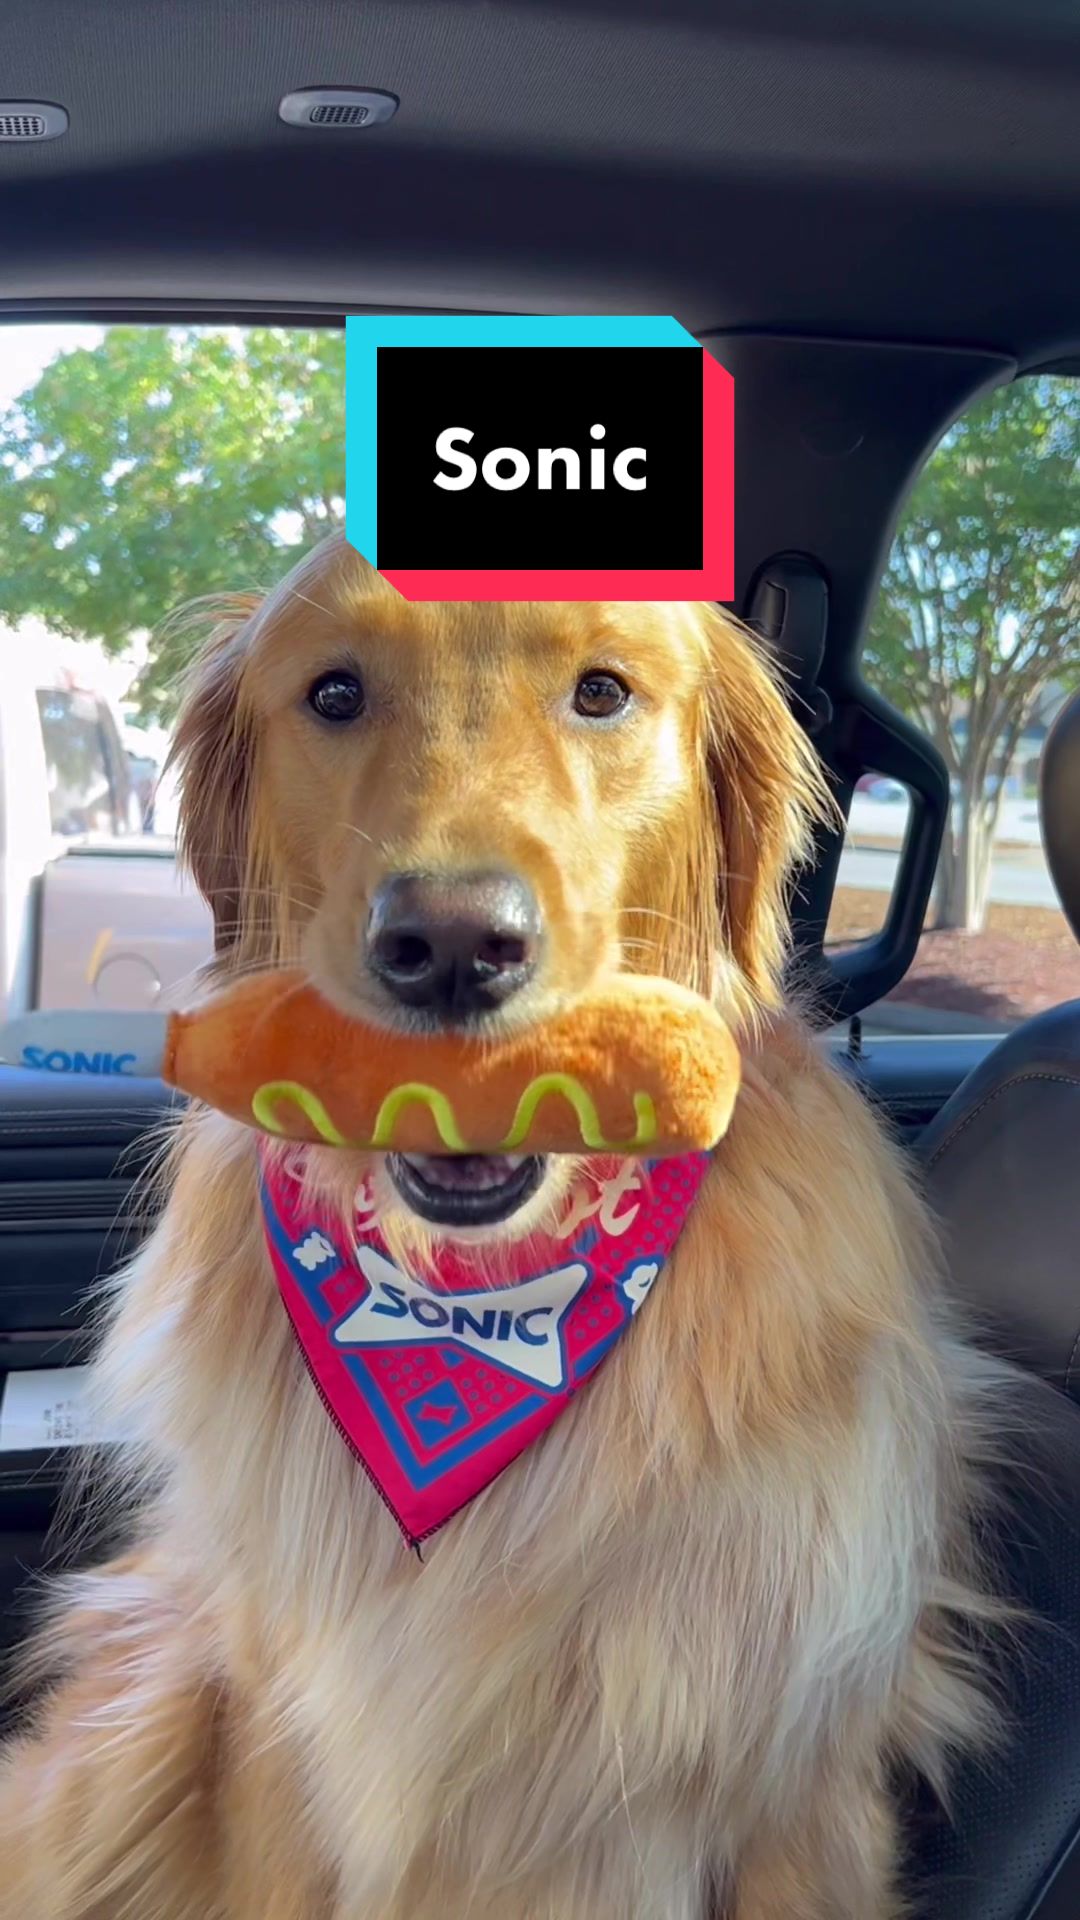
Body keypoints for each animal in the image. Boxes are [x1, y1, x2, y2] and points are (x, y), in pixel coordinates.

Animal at [0, 532, 1004, 1918]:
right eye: (334, 692)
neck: (477, 1308)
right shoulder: (270, 1729)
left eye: (602, 692)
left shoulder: (801, 1776)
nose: (453, 945)